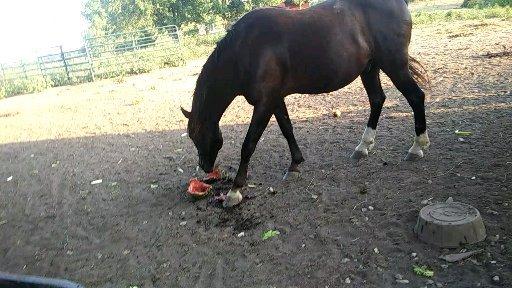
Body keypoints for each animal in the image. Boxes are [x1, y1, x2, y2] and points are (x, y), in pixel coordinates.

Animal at [180, 0, 428, 207]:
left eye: (199, 135)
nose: (205, 166)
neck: (246, 49)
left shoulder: (264, 103)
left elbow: (248, 144)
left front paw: (235, 191)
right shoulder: (275, 99)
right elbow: (287, 129)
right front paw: (295, 165)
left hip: (394, 65)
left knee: (416, 97)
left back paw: (417, 147)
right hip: (369, 68)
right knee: (377, 100)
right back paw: (363, 146)